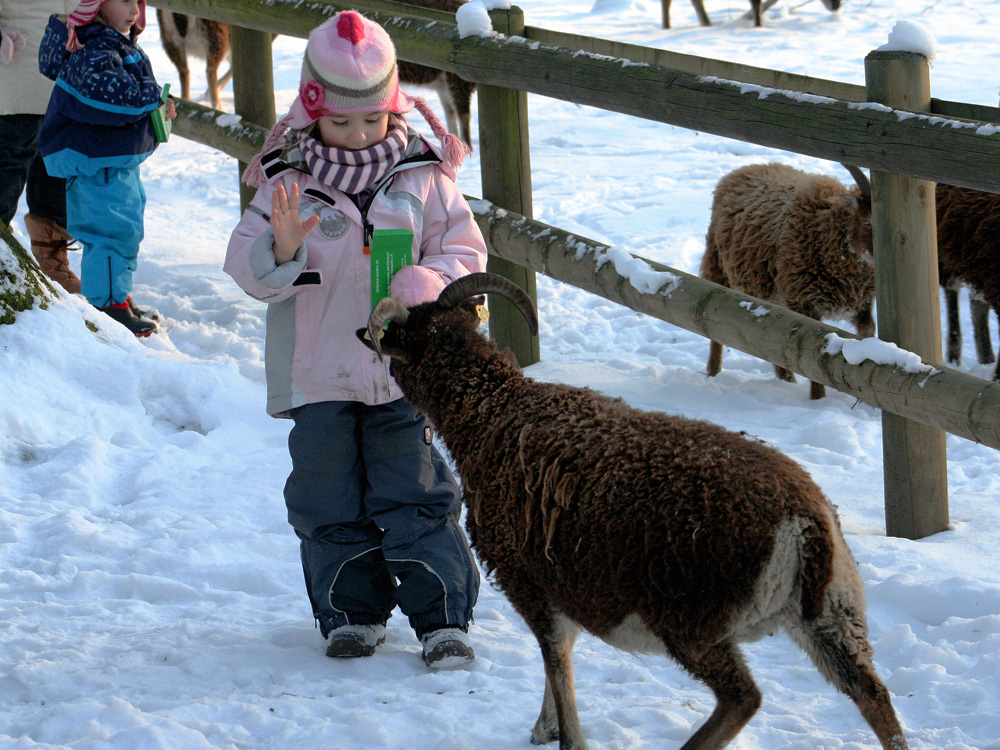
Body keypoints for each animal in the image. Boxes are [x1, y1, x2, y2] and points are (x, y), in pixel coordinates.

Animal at [358, 274, 908, 750]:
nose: (368, 340)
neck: (493, 413)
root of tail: (804, 523)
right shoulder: (564, 583)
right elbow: (560, 657)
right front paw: (543, 728)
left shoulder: (528, 578)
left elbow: (556, 658)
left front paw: (565, 736)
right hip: (833, 615)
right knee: (874, 697)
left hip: (691, 621)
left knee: (743, 698)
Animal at [700, 162, 872, 402]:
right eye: (866, 221)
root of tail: (741, 170)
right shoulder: (803, 299)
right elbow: (810, 349)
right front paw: (818, 399)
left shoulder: (861, 301)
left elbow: (868, 336)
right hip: (717, 268)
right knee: (713, 325)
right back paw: (713, 371)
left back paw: (786, 380)